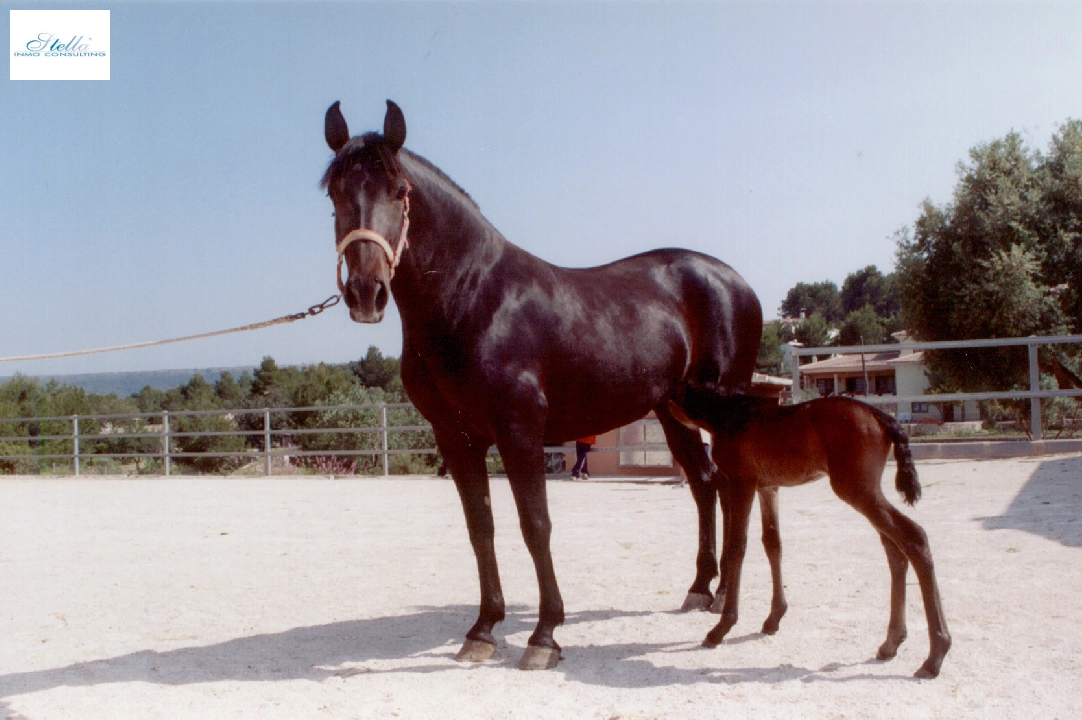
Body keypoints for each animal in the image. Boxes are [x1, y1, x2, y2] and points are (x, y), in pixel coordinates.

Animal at [320, 99, 761, 666]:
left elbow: (535, 525)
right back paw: (701, 589)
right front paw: (483, 629)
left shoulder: (519, 433)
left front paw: (545, 635)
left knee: (727, 487)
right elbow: (480, 528)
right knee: (705, 484)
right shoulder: (456, 439)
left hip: (719, 408)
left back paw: (724, 595)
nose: (365, 292)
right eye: (334, 193)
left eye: (400, 191)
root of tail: (734, 282)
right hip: (672, 410)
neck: (475, 299)